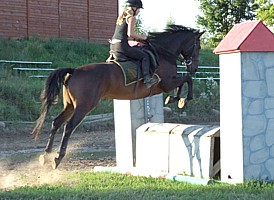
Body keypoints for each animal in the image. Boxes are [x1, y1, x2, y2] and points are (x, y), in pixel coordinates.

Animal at [32, 24, 203, 169]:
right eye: (198, 46)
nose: (194, 68)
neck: (164, 54)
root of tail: (74, 71)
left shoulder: (168, 83)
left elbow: (184, 81)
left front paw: (175, 99)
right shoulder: (167, 83)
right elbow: (187, 79)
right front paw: (182, 99)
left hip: (70, 106)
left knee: (56, 122)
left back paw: (45, 156)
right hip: (84, 106)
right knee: (68, 126)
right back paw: (57, 158)